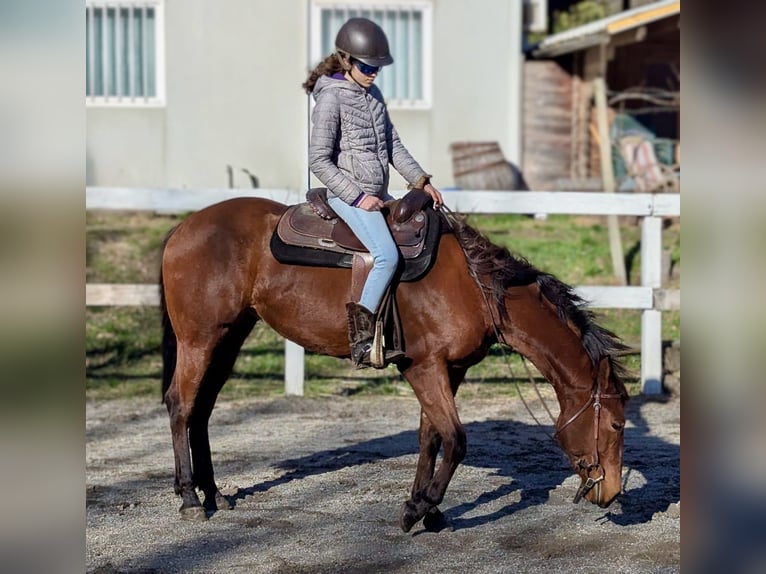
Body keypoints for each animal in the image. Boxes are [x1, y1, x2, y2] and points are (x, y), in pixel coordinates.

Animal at [159, 195, 629, 531]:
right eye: (617, 424)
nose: (611, 493)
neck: (475, 287)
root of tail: (183, 227)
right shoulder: (422, 367)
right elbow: (455, 439)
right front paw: (418, 509)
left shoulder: (448, 370)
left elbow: (431, 438)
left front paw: (427, 509)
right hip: (200, 340)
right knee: (181, 404)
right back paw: (189, 499)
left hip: (229, 338)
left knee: (202, 410)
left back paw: (213, 493)